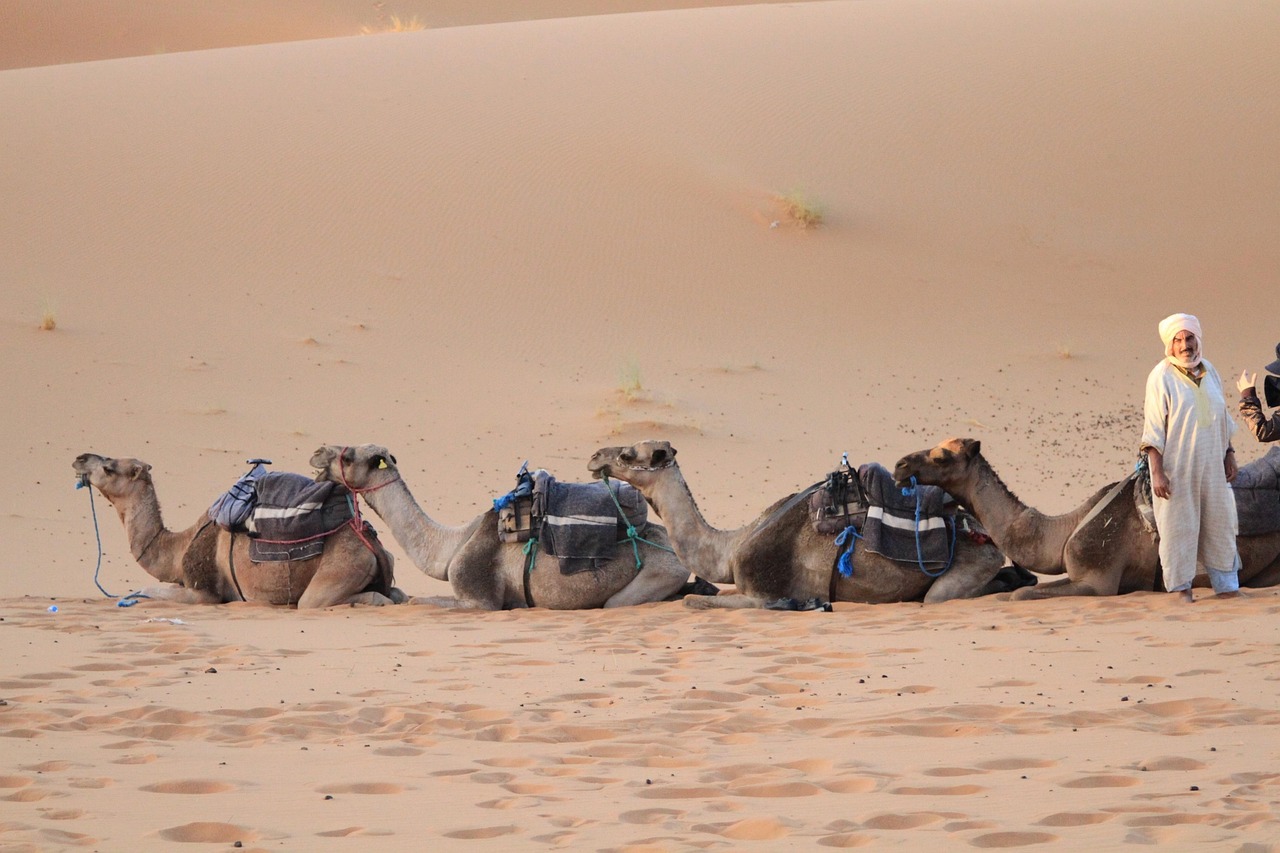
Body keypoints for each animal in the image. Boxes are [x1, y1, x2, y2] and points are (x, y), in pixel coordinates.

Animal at [71, 450, 399, 604]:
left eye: (109, 468)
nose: (80, 458)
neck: (178, 549)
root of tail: (372, 544)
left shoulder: (204, 592)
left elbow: (145, 591)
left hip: (340, 570)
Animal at [305, 440, 696, 607]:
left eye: (349, 456)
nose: (318, 452)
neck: (452, 546)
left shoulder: (479, 598)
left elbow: (420, 602)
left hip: (658, 572)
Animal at [588, 438, 1018, 604]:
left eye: (628, 454)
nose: (594, 457)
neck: (730, 549)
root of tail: (980, 531)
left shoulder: (763, 594)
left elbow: (696, 602)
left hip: (969, 565)